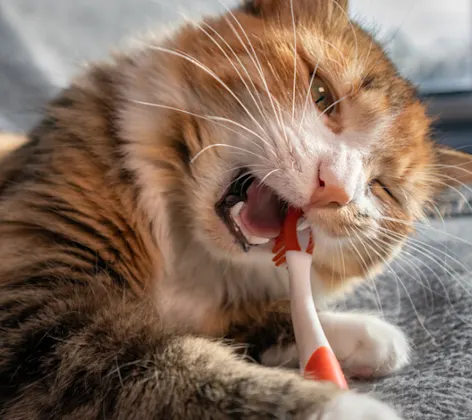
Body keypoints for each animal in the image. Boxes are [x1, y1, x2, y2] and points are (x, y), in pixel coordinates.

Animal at [0, 0, 472, 418]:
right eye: (323, 95)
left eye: (380, 189)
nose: (336, 187)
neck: (187, 252)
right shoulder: (43, 314)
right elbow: (166, 368)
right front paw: (342, 406)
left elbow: (258, 321)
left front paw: (362, 337)